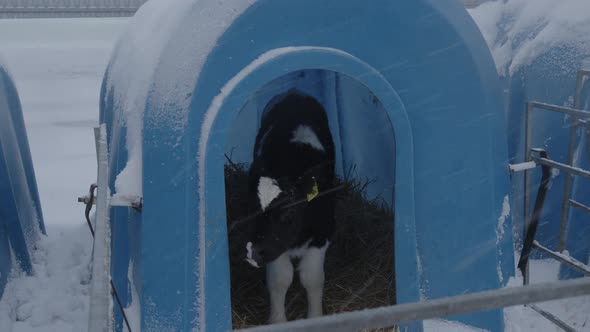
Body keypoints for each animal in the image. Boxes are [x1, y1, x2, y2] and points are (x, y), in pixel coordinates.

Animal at [245, 91, 338, 324]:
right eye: (251, 209)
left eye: (289, 213)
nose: (253, 253)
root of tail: (294, 93)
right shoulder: (275, 245)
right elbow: (280, 278)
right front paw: (278, 321)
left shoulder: (324, 231)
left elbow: (312, 279)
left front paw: (315, 317)